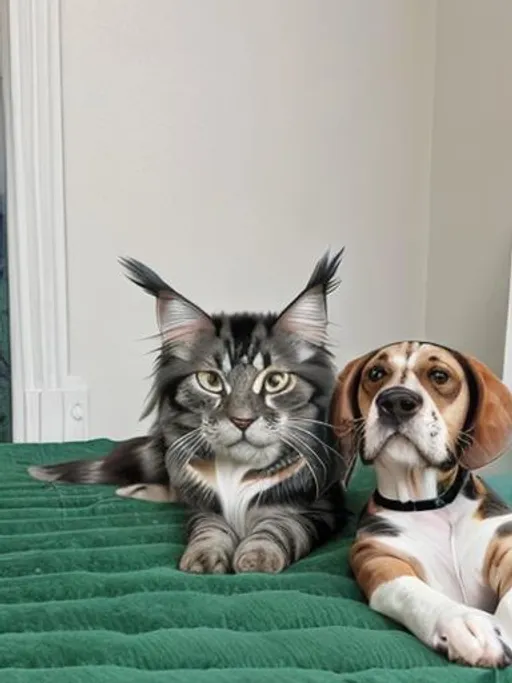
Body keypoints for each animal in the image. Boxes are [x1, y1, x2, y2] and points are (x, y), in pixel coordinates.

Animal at [29, 250, 348, 572]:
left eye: (275, 381)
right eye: (210, 381)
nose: (242, 420)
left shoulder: (320, 507)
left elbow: (278, 526)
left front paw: (258, 555)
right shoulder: (204, 509)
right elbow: (208, 529)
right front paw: (204, 555)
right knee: (175, 487)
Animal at [330, 342, 512, 668]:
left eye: (439, 375)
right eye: (376, 373)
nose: (396, 401)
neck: (429, 504)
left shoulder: (504, 541)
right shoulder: (378, 557)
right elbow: (413, 594)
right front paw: (464, 623)